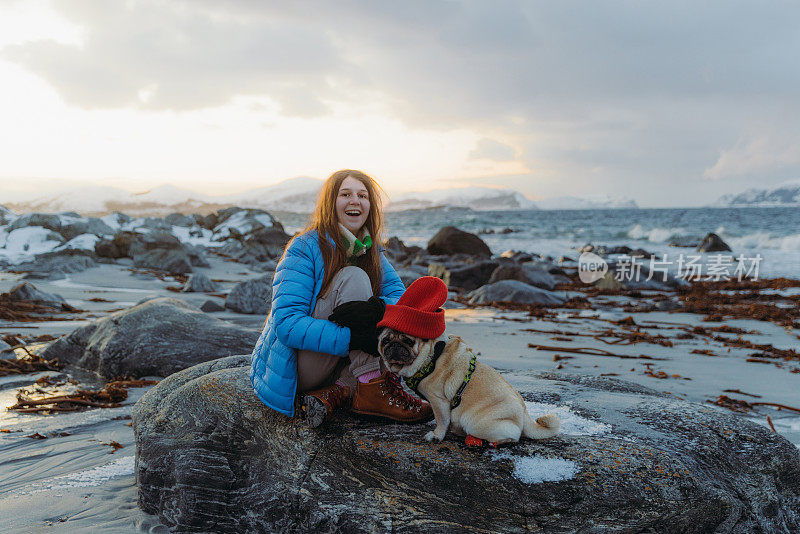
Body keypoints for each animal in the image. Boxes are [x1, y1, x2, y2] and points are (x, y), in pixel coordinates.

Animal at [378, 328, 560, 446]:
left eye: (408, 341)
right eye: (385, 341)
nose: (394, 345)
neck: (431, 356)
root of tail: (524, 413)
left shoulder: (439, 401)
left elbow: (441, 421)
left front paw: (437, 436)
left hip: (474, 422)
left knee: (513, 436)